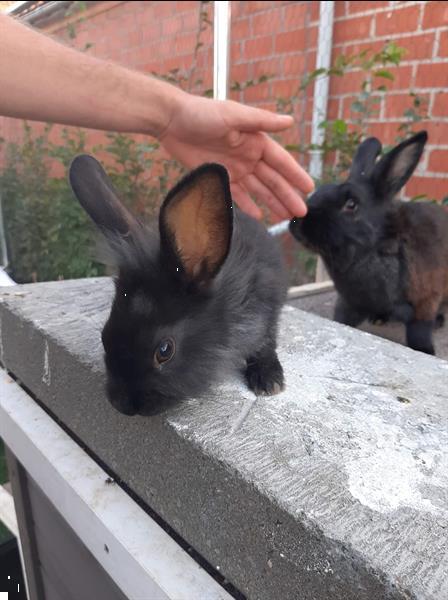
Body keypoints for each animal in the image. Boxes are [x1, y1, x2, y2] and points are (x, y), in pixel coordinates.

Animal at [70, 157, 288, 414]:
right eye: (104, 336)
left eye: (165, 351)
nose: (121, 405)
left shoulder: (265, 311)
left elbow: (267, 342)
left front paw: (269, 380)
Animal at [288, 131, 448, 354]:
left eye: (351, 205)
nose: (296, 224)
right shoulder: (348, 303)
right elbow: (341, 321)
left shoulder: (424, 303)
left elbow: (420, 333)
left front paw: (426, 351)